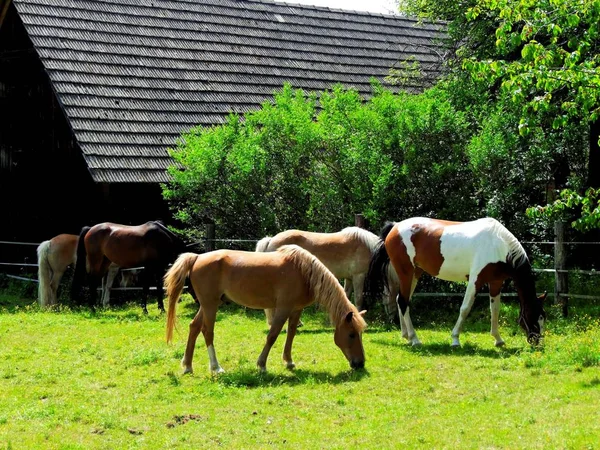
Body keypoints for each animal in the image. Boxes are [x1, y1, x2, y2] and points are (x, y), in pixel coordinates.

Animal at [163, 244, 366, 374]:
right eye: (351, 334)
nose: (360, 363)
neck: (304, 272)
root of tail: (197, 257)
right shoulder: (283, 308)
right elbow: (273, 335)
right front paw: (261, 365)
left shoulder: (296, 310)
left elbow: (291, 334)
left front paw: (289, 361)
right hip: (210, 305)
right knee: (207, 331)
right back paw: (216, 367)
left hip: (208, 305)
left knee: (194, 327)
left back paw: (188, 366)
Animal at [254, 227, 398, 326]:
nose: (393, 322)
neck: (368, 248)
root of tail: (271, 239)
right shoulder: (359, 276)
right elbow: (358, 298)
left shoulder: (349, 278)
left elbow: (346, 295)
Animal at [364, 218, 548, 348]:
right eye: (534, 316)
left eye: (543, 317)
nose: (537, 342)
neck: (498, 244)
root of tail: (395, 227)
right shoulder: (475, 280)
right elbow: (465, 309)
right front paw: (455, 340)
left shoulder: (496, 282)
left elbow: (495, 309)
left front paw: (498, 339)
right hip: (406, 273)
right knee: (403, 302)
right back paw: (415, 340)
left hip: (415, 274)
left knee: (401, 300)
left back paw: (406, 336)